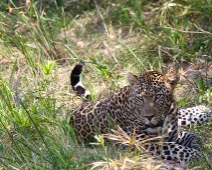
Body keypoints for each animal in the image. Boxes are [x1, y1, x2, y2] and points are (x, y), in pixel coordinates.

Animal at [69, 63, 210, 163]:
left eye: (157, 97)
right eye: (140, 98)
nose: (148, 117)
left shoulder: (173, 134)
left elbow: (193, 136)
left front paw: (199, 147)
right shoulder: (144, 143)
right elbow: (177, 148)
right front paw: (199, 156)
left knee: (183, 114)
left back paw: (204, 110)